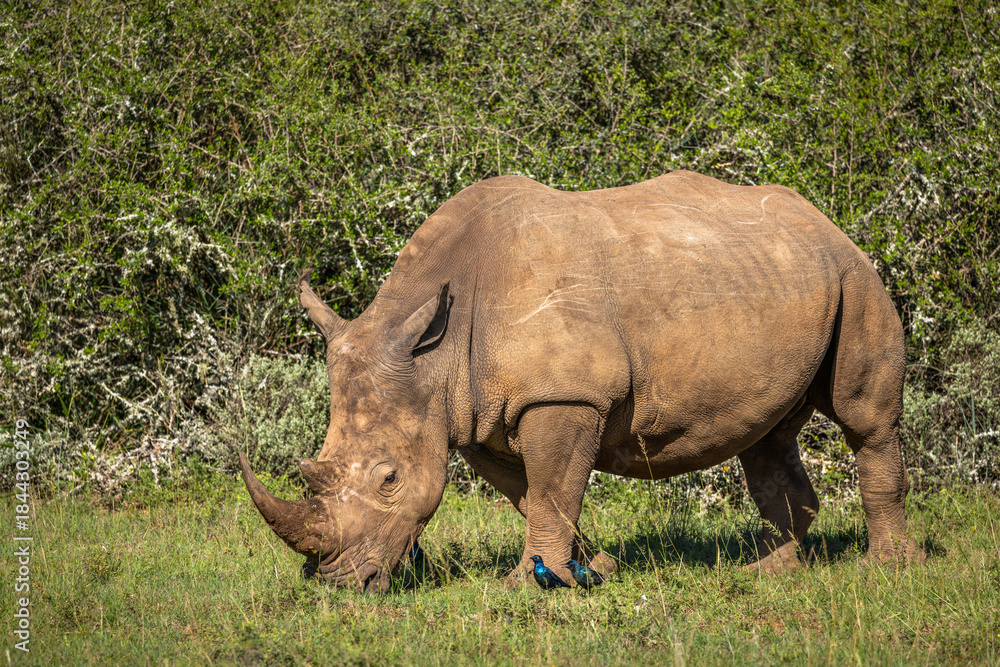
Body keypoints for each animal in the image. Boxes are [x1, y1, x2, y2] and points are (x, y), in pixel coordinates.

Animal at [239, 171, 920, 593]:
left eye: (389, 480)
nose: (336, 584)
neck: (433, 358)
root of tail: (826, 220)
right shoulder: (475, 413)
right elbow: (534, 493)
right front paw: (589, 567)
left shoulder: (563, 394)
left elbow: (551, 487)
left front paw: (528, 585)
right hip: (779, 280)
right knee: (767, 438)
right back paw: (768, 573)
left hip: (855, 276)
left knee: (865, 420)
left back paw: (885, 571)